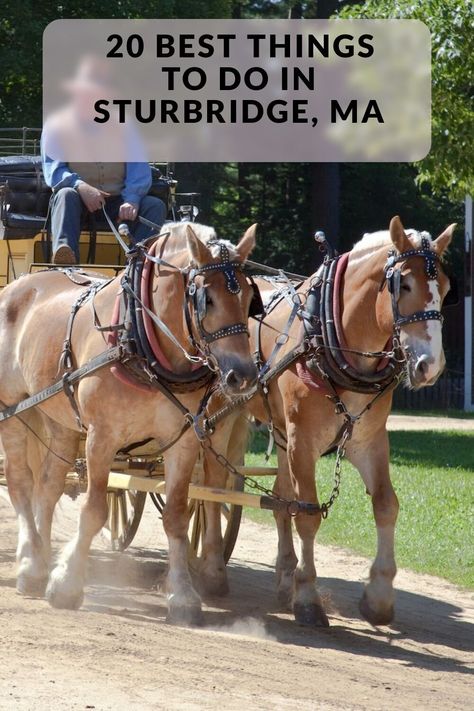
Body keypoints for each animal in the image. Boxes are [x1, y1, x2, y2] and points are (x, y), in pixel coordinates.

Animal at [0, 221, 260, 624]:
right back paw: (30, 565)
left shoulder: (183, 440)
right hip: (13, 409)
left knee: (48, 486)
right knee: (20, 482)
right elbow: (94, 510)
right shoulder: (102, 438)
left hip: (60, 418)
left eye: (249, 299)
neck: (140, 340)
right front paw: (68, 585)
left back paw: (41, 559)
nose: (243, 375)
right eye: (208, 299)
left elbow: (176, 516)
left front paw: (182, 596)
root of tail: (18, 287)